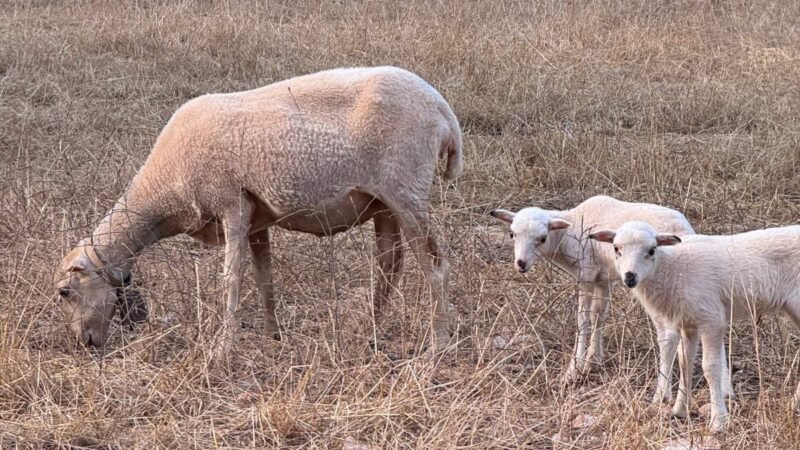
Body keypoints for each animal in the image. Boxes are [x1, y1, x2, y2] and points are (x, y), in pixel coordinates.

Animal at [51, 67, 462, 360]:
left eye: (65, 292)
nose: (85, 344)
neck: (164, 190)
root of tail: (443, 110)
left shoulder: (232, 204)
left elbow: (231, 280)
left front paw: (221, 351)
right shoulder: (255, 218)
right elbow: (265, 278)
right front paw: (272, 336)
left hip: (406, 192)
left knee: (434, 266)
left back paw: (438, 344)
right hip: (383, 203)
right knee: (389, 265)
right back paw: (370, 334)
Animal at [488, 195, 732, 402]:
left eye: (542, 238)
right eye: (512, 234)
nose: (521, 264)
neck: (570, 229)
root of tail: (683, 229)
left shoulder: (585, 274)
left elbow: (583, 320)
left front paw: (574, 369)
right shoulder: (602, 279)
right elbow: (599, 315)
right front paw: (593, 360)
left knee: (671, 334)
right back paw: (726, 387)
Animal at [588, 221, 800, 432]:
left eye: (652, 250)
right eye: (616, 248)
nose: (630, 277)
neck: (671, 269)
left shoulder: (711, 319)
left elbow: (711, 367)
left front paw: (718, 421)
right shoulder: (688, 324)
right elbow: (685, 362)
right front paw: (680, 410)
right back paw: (793, 405)